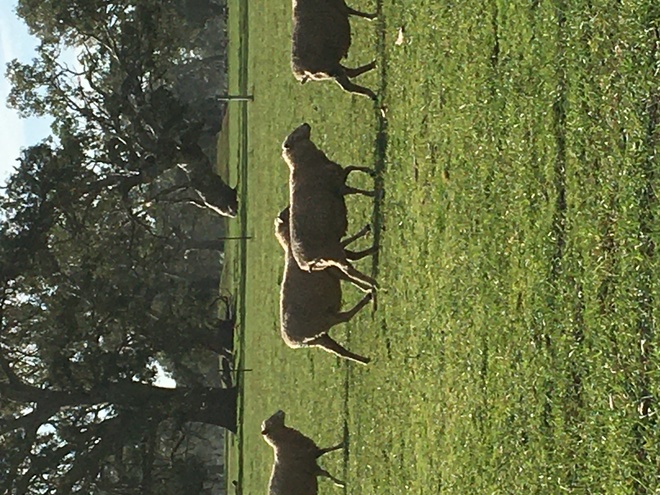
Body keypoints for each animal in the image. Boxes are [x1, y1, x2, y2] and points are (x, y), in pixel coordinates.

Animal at [276, 206, 377, 364]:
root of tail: (293, 341)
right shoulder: (333, 269)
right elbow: (350, 267)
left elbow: (352, 258)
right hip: (323, 321)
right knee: (345, 317)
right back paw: (367, 298)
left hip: (319, 338)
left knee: (340, 352)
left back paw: (364, 360)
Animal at [282, 123, 378, 293]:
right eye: (293, 136)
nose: (306, 124)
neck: (305, 164)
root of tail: (305, 263)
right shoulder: (339, 187)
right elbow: (355, 189)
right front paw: (373, 192)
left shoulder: (340, 177)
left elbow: (350, 167)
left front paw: (370, 172)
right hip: (332, 253)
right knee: (349, 271)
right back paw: (374, 284)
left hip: (328, 259)